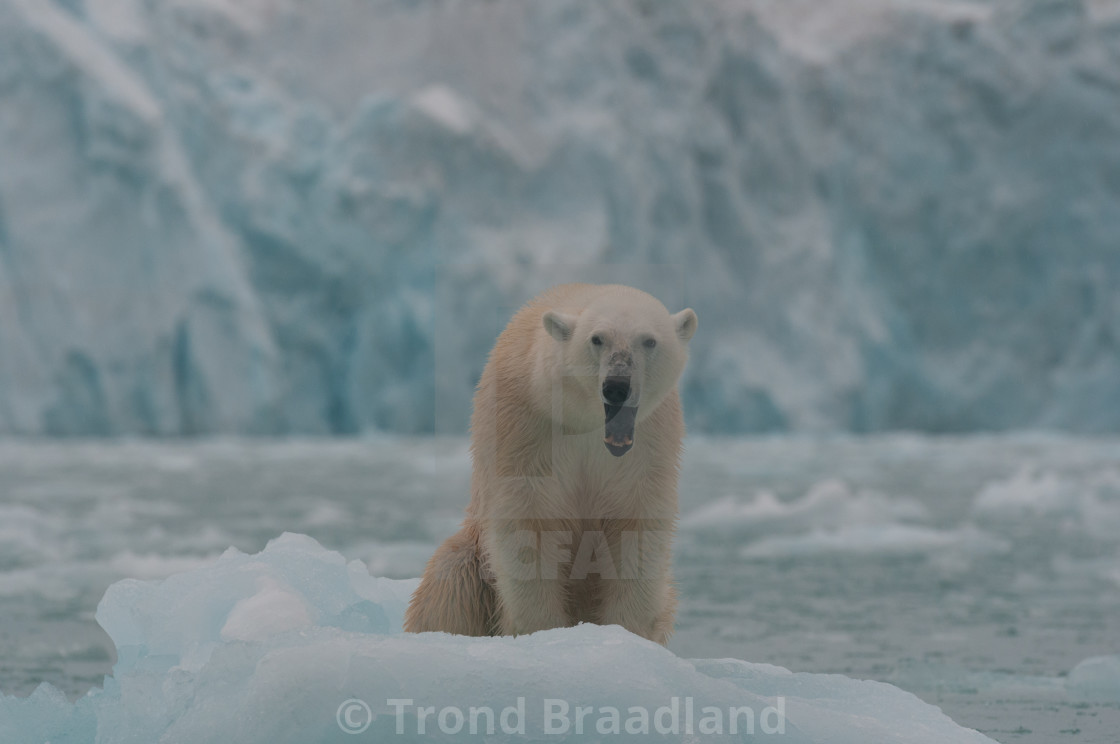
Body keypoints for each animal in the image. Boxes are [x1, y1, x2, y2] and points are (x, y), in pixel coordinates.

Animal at [407, 284, 694, 645]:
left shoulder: (650, 444)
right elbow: (528, 528)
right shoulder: (523, 427)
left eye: (649, 340)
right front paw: (543, 632)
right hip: (472, 555)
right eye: (597, 338)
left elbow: (637, 526)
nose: (617, 385)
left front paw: (625, 633)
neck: (583, 422)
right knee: (449, 584)